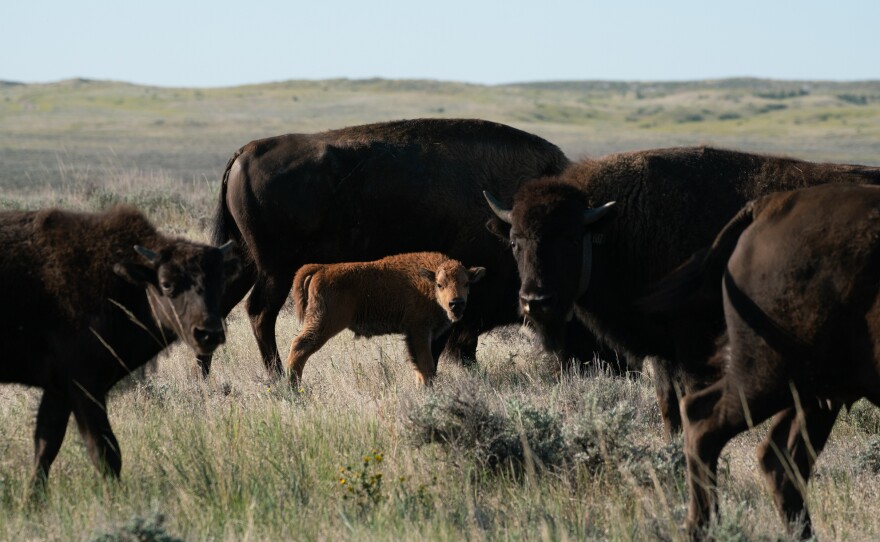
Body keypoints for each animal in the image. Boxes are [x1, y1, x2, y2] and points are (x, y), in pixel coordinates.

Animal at [0, 206, 239, 487]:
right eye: (167, 284)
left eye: (221, 280)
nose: (208, 333)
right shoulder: (85, 386)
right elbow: (105, 452)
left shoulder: (59, 390)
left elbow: (46, 447)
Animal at [287, 252, 485, 385]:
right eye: (440, 284)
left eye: (466, 283)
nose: (456, 304)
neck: (427, 281)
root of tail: (322, 269)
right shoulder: (419, 331)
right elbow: (426, 365)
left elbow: (420, 367)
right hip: (324, 324)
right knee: (299, 347)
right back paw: (292, 388)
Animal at [485, 146, 880, 434]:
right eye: (515, 241)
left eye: (569, 238)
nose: (536, 302)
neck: (614, 228)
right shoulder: (663, 350)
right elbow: (668, 403)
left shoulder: (694, 348)